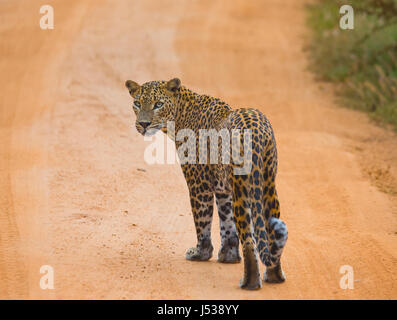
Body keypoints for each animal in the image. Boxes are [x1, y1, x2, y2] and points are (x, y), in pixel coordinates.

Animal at [124, 77, 288, 290]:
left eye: (158, 104)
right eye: (137, 103)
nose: (144, 124)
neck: (179, 115)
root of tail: (257, 129)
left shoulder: (198, 184)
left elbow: (202, 220)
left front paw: (201, 253)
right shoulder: (223, 189)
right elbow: (226, 223)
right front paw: (228, 256)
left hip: (243, 188)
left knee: (249, 238)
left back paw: (250, 282)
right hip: (268, 184)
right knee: (271, 230)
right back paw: (274, 276)